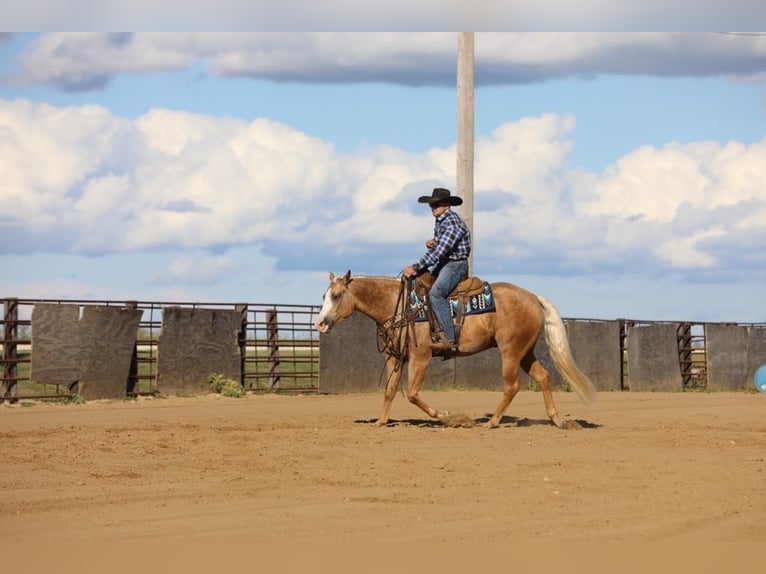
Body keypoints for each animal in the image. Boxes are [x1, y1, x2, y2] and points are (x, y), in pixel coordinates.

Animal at [316, 272, 596, 430]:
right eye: (324, 296)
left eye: (337, 296)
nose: (319, 323)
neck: (401, 306)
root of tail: (533, 297)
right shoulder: (395, 356)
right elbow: (390, 390)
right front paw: (381, 421)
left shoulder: (420, 356)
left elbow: (412, 393)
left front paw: (449, 416)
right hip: (525, 352)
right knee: (543, 377)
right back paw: (558, 420)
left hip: (511, 351)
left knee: (512, 386)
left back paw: (492, 422)